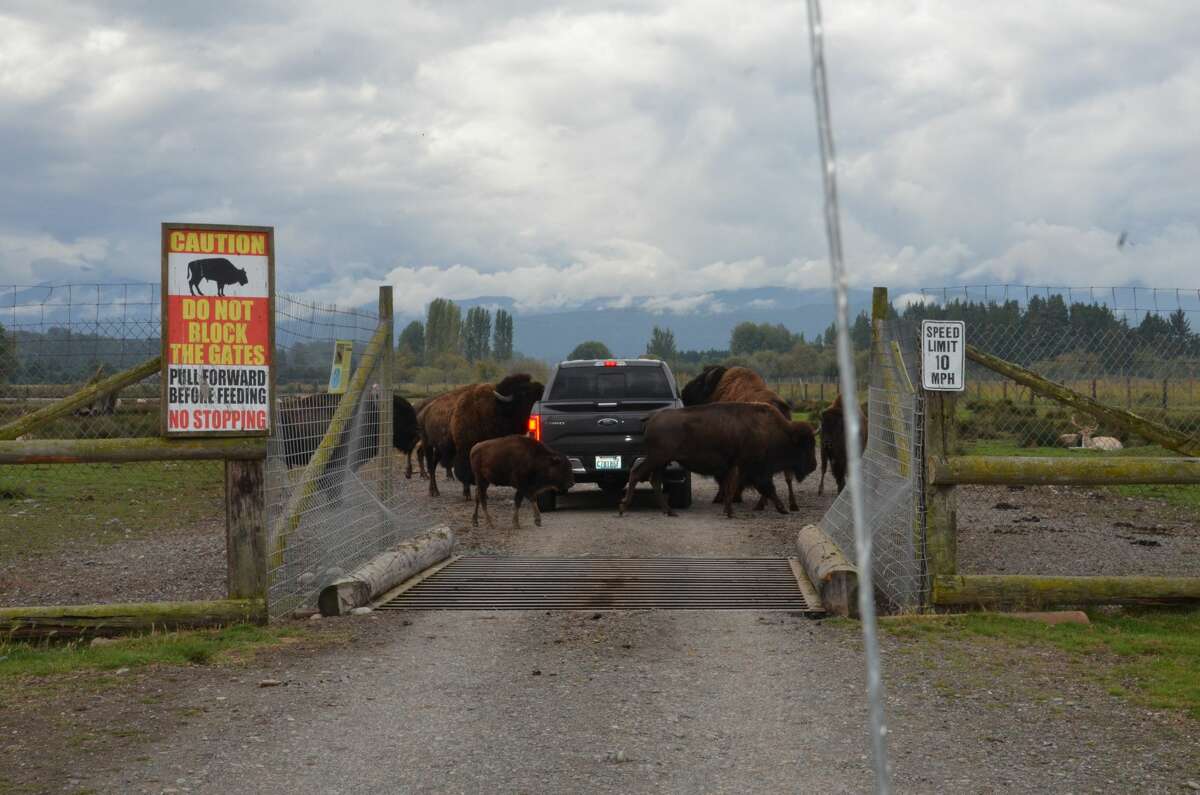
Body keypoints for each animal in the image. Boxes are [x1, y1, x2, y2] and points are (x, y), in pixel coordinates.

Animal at [619, 405, 816, 523]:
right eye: (805, 446)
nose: (813, 466)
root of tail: (652, 418)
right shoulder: (750, 468)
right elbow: (766, 488)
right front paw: (783, 509)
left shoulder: (734, 468)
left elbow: (731, 487)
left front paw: (728, 511)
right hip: (657, 458)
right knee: (637, 474)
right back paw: (623, 507)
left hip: (661, 461)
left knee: (654, 480)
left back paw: (670, 511)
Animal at [681, 365, 801, 511]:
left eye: (699, 383)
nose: (684, 392)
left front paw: (724, 498)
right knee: (787, 477)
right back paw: (791, 505)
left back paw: (760, 505)